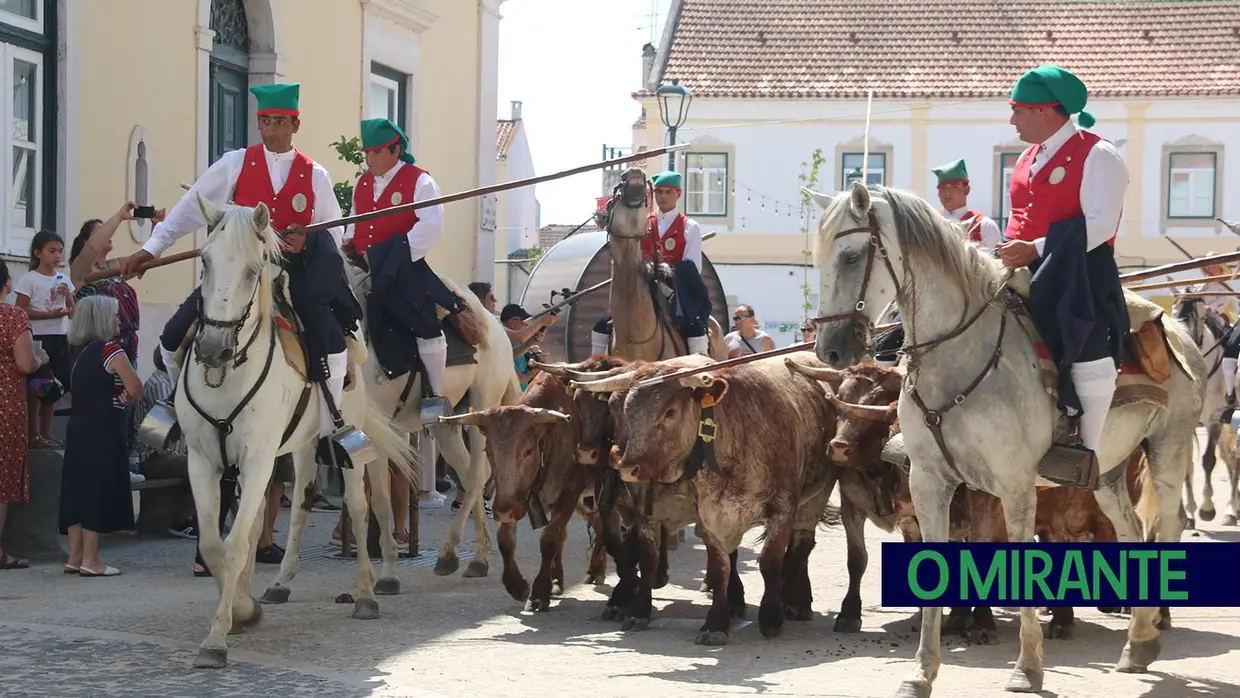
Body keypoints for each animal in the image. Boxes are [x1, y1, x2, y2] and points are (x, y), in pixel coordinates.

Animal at [173, 193, 421, 669]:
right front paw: (242, 610)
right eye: (205, 261)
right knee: (290, 504)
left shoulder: (255, 458)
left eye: (253, 269)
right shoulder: (205, 461)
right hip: (298, 448)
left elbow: (234, 544)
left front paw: (217, 639)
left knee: (360, 509)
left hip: (345, 442)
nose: (212, 350)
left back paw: (366, 594)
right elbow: (216, 545)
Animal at [344, 262, 523, 580]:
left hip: (482, 409)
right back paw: (479, 554)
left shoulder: (374, 432)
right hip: (446, 423)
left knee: (477, 474)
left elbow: (379, 500)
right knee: (466, 470)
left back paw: (453, 553)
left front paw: (387, 573)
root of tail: (498, 329)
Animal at [570, 352, 833, 649]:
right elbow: (712, 567)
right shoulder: (698, 515)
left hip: (816, 498)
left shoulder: (782, 510)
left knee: (801, 546)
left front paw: (771, 617)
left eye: (670, 412)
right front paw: (713, 622)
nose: (626, 465)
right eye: (620, 409)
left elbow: (770, 563)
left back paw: (796, 601)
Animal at [803, 182, 1200, 698]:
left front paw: (1027, 667)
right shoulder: (929, 484)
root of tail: (1177, 330)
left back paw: (1151, 628)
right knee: (1131, 530)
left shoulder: (1013, 486)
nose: (830, 349)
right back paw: (1137, 642)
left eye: (852, 256)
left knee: (1167, 526)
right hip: (1108, 474)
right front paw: (921, 673)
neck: (961, 357)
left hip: (1169, 451)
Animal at [1170, 293, 1240, 525]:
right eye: (1173, 313)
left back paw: (1231, 510)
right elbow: (1183, 462)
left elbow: (1208, 459)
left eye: (1200, 318)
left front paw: (1206, 508)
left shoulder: (1212, 418)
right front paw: (1187, 512)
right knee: (1230, 457)